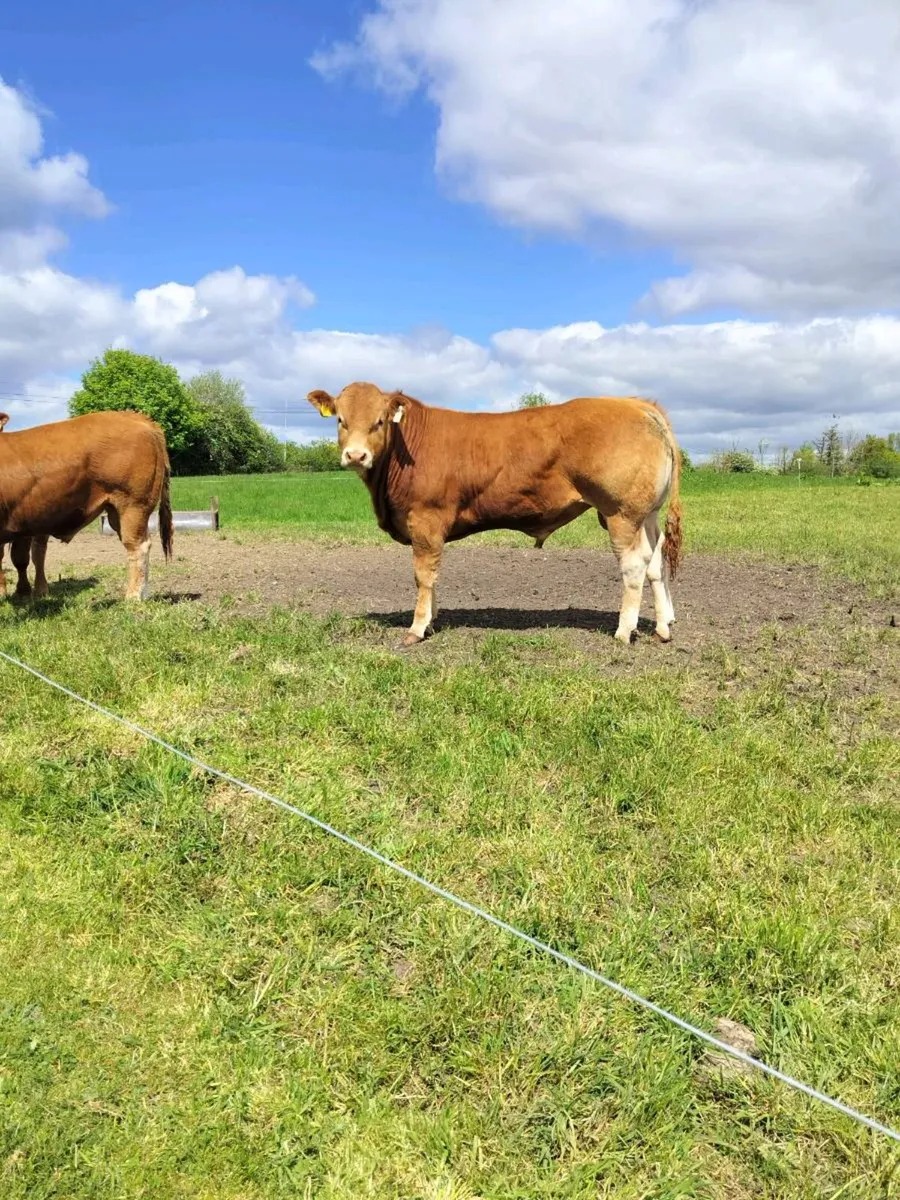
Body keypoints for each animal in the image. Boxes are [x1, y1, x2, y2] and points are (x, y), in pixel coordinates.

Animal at [307, 382, 683, 647]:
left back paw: (624, 630)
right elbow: (433, 576)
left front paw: (416, 628)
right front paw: (431, 621)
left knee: (633, 565)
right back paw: (663, 627)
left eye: (379, 421)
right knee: (656, 561)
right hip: (647, 514)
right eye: (340, 420)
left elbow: (423, 575)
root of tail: (636, 403)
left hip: (621, 513)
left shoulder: (425, 520)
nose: (356, 456)